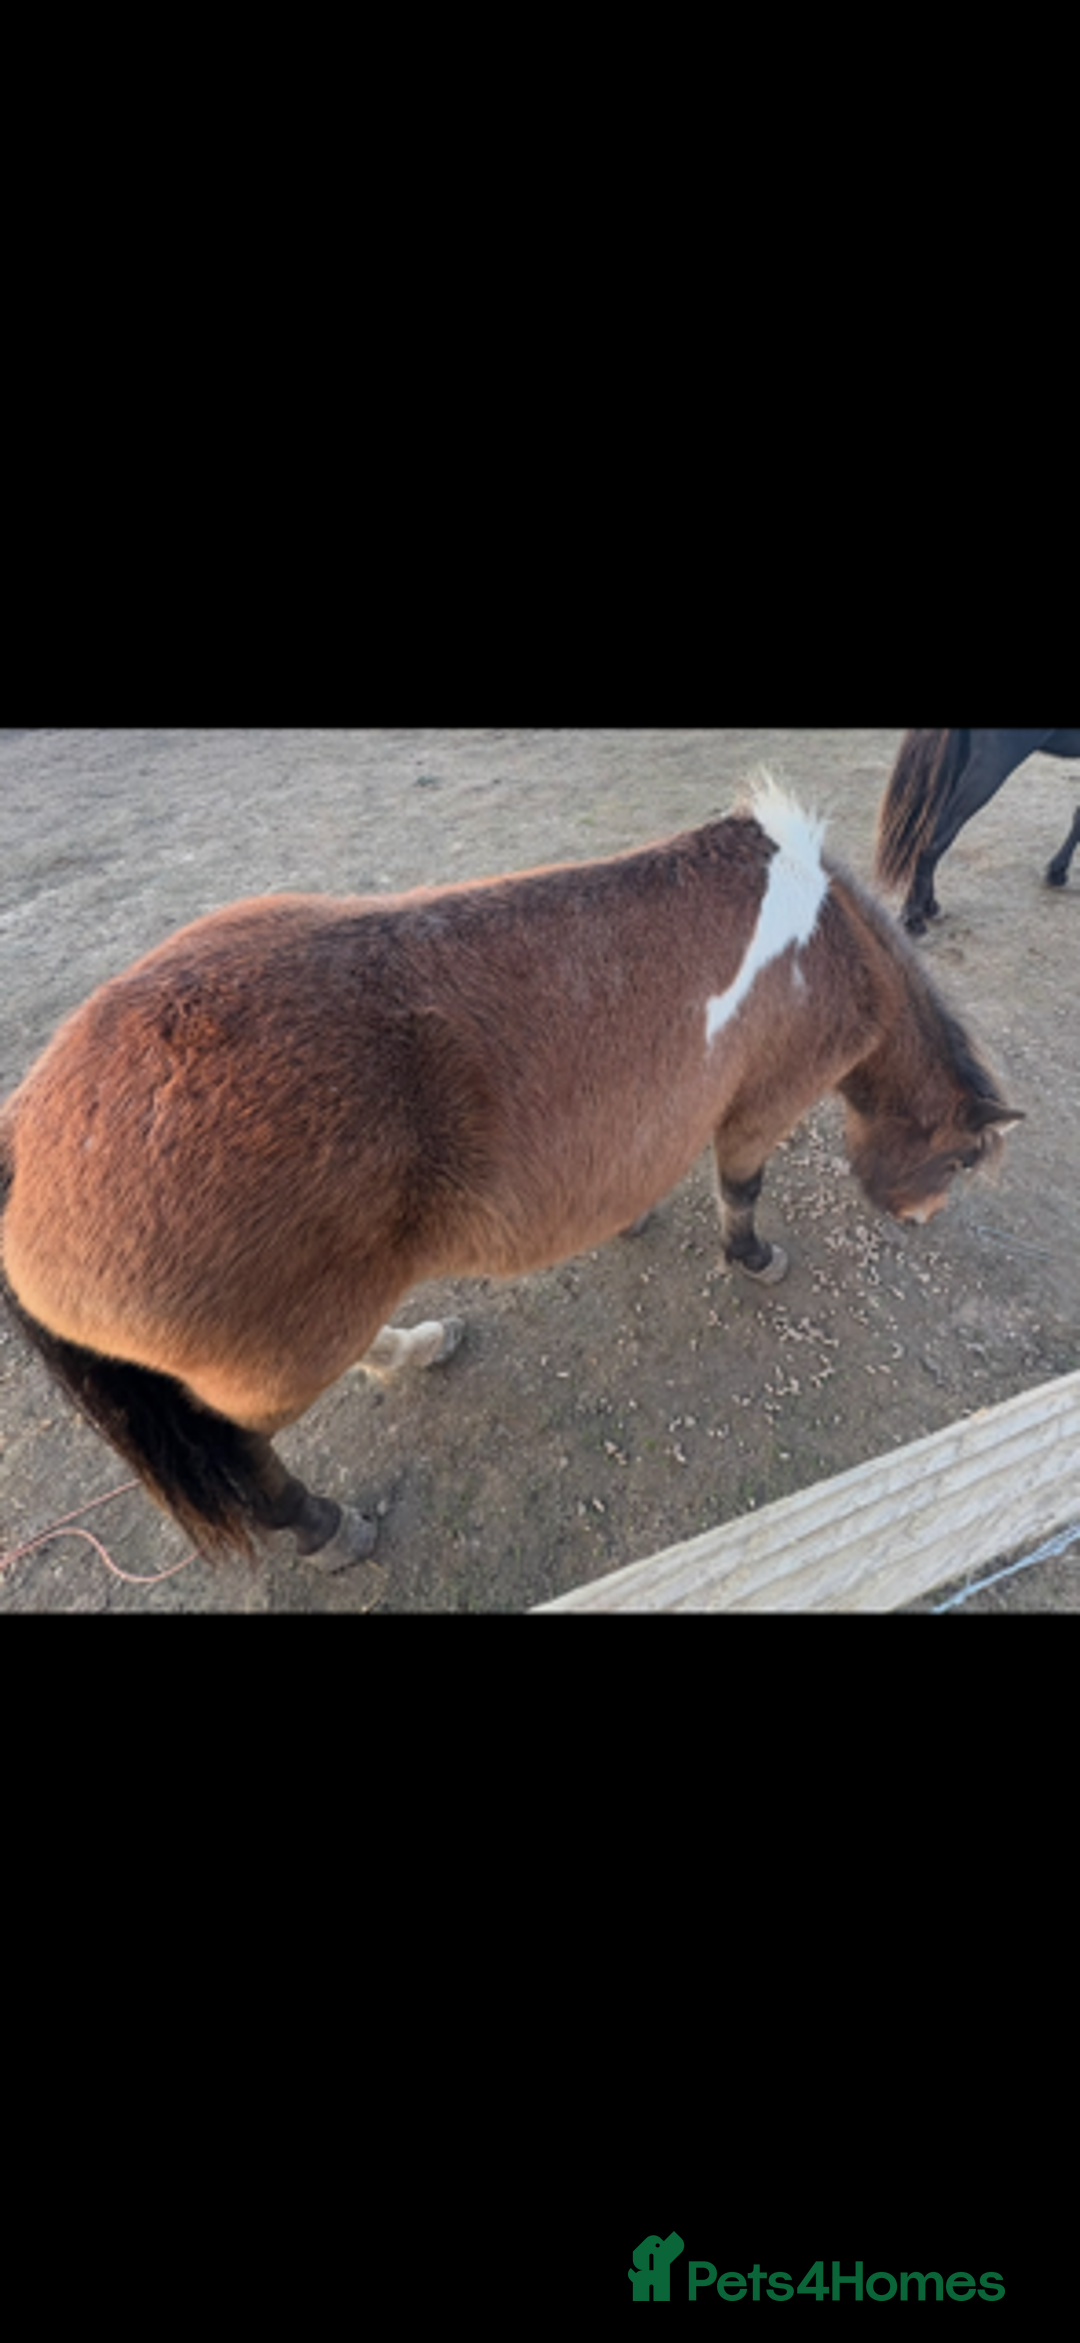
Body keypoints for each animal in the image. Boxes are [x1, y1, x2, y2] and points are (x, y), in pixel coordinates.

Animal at [0, 773, 1021, 1575]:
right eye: (958, 1157)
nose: (922, 1216)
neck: (827, 939)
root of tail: (25, 1135)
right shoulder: (760, 1106)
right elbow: (741, 1192)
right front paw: (754, 1259)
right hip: (271, 1369)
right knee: (250, 1461)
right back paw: (329, 1528)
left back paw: (417, 1349)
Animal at [875, 728, 1080, 935]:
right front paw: (1058, 872)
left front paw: (1056, 871)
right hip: (990, 767)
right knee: (938, 836)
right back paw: (912, 919)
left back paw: (929, 907)